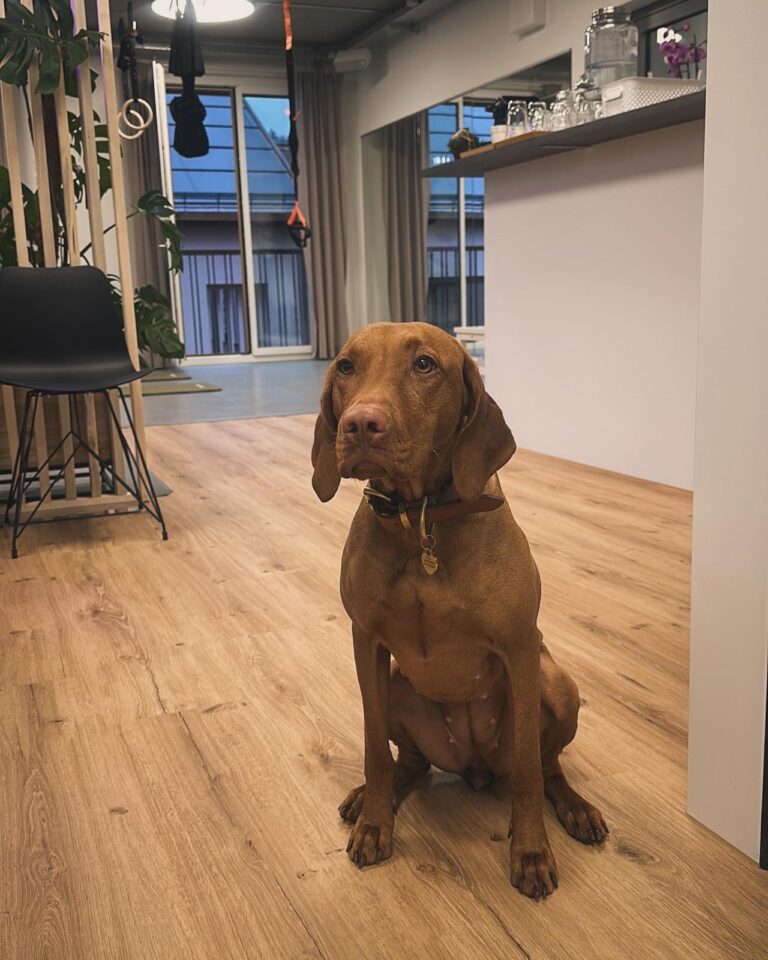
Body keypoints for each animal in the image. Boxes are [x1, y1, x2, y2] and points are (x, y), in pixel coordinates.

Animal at [311, 322, 608, 899]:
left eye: (425, 365)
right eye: (346, 366)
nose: (360, 424)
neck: (421, 520)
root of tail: (474, 767)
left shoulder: (519, 649)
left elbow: (528, 772)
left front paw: (531, 850)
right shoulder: (366, 642)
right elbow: (373, 748)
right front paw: (376, 823)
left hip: (556, 682)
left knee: (546, 764)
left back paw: (575, 808)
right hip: (399, 687)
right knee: (410, 763)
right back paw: (373, 798)